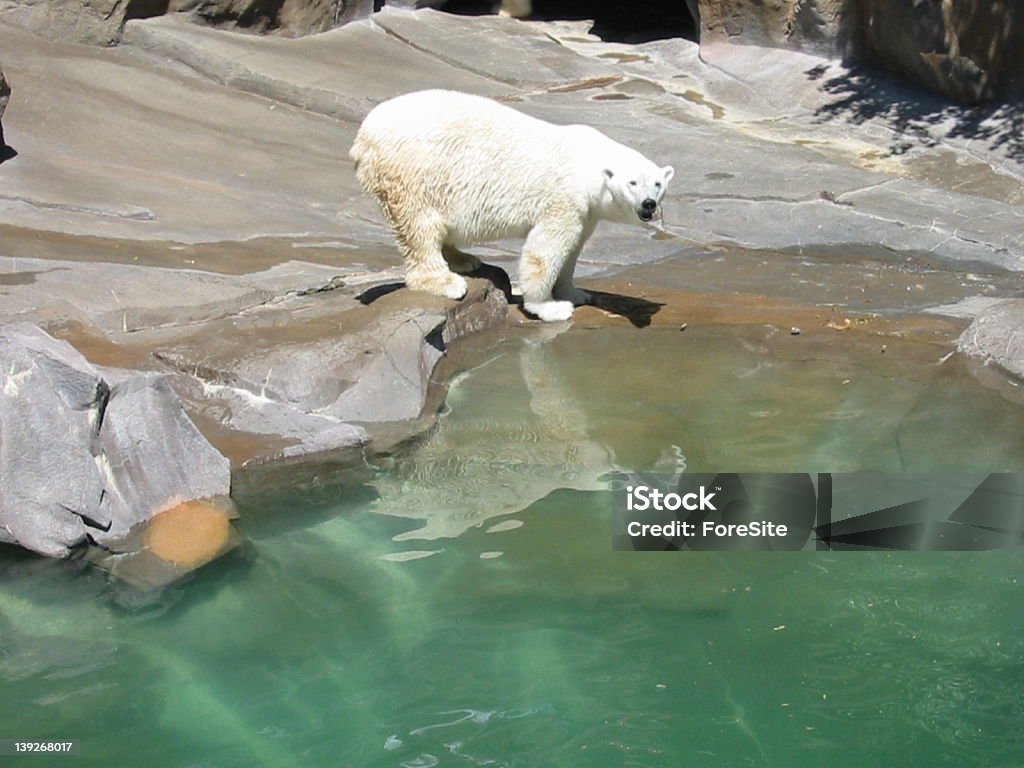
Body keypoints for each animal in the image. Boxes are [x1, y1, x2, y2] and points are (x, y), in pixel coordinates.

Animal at [348, 89, 675, 321]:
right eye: (632, 182)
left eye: (657, 183)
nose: (648, 204)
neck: (587, 162)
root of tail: (363, 137)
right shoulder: (563, 199)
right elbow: (546, 251)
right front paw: (550, 307)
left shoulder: (586, 212)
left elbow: (573, 250)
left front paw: (576, 293)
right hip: (414, 172)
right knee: (421, 226)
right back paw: (446, 281)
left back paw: (465, 259)